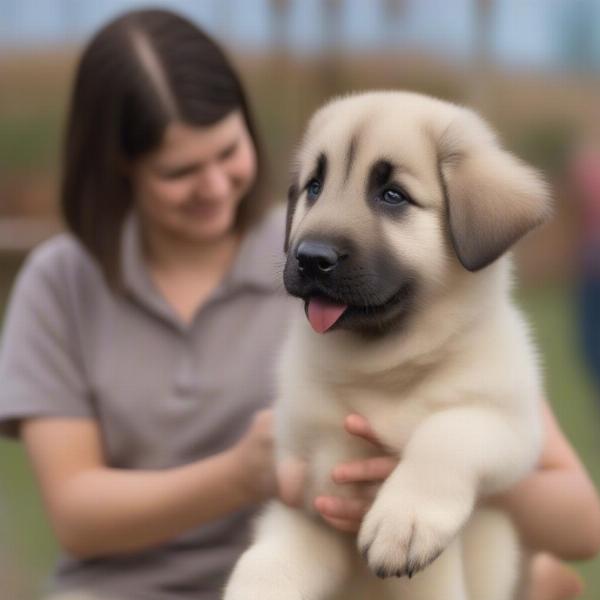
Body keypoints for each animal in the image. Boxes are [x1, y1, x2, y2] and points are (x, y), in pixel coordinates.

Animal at [224, 91, 548, 600]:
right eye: (314, 187)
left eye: (392, 195)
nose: (310, 257)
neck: (381, 369)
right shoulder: (310, 497)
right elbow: (263, 566)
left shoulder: (512, 425)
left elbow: (447, 430)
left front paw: (404, 521)